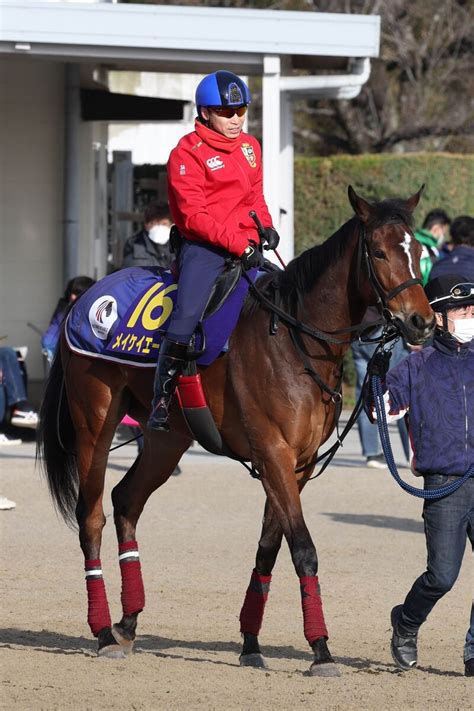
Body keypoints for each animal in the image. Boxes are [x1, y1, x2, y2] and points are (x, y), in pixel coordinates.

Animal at [39, 186, 436, 676]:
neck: (294, 338)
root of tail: (86, 297)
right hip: (94, 426)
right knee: (91, 517)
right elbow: (303, 548)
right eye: (379, 252)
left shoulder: (298, 465)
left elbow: (269, 546)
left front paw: (250, 642)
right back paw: (102, 631)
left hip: (167, 438)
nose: (422, 322)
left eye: (418, 253)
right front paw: (321, 648)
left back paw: (128, 621)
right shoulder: (273, 454)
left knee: (126, 500)